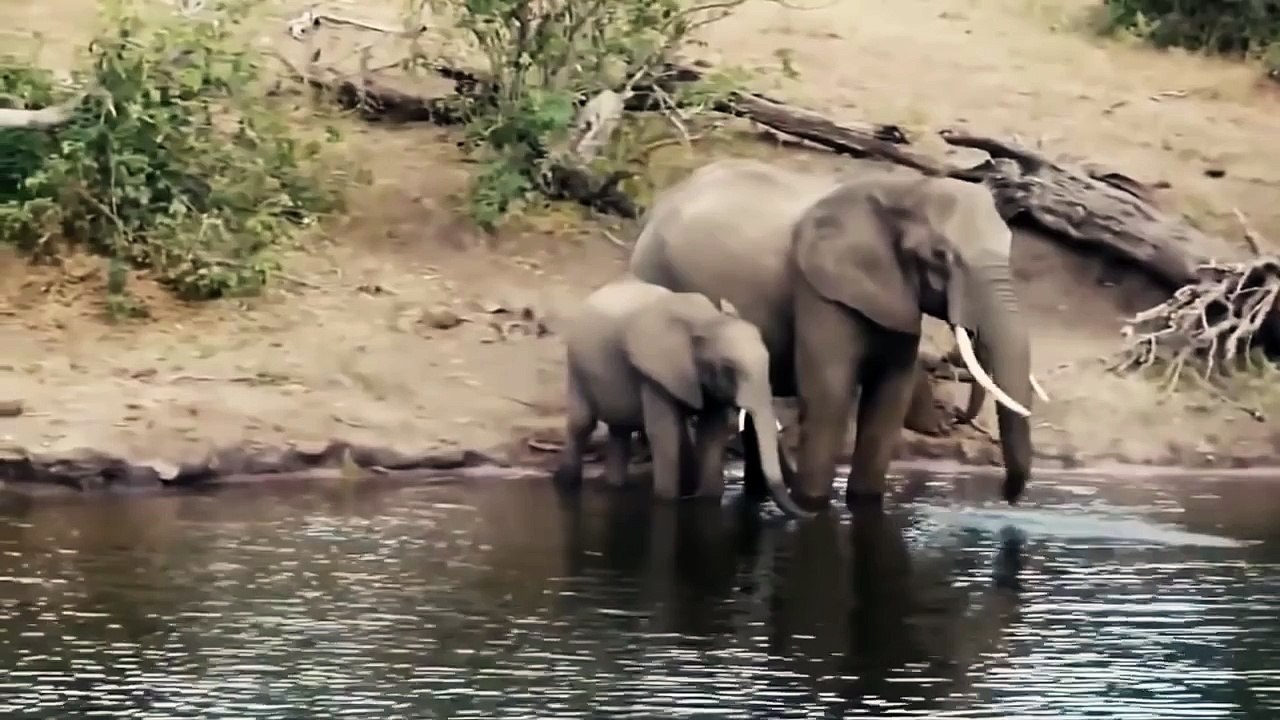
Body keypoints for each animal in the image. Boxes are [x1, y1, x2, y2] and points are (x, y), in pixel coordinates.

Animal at [552, 274, 811, 518]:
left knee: (619, 431)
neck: (707, 322)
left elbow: (712, 433)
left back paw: (615, 486)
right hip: (576, 366)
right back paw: (565, 483)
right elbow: (665, 434)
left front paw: (707, 499)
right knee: (582, 424)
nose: (812, 514)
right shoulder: (655, 372)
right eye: (729, 369)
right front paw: (667, 501)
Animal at [629, 158, 1048, 511]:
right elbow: (829, 394)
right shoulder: (819, 290)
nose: (1006, 498)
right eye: (940, 257)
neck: (904, 189)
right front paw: (813, 506)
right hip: (655, 274)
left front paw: (863, 503)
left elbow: (888, 398)